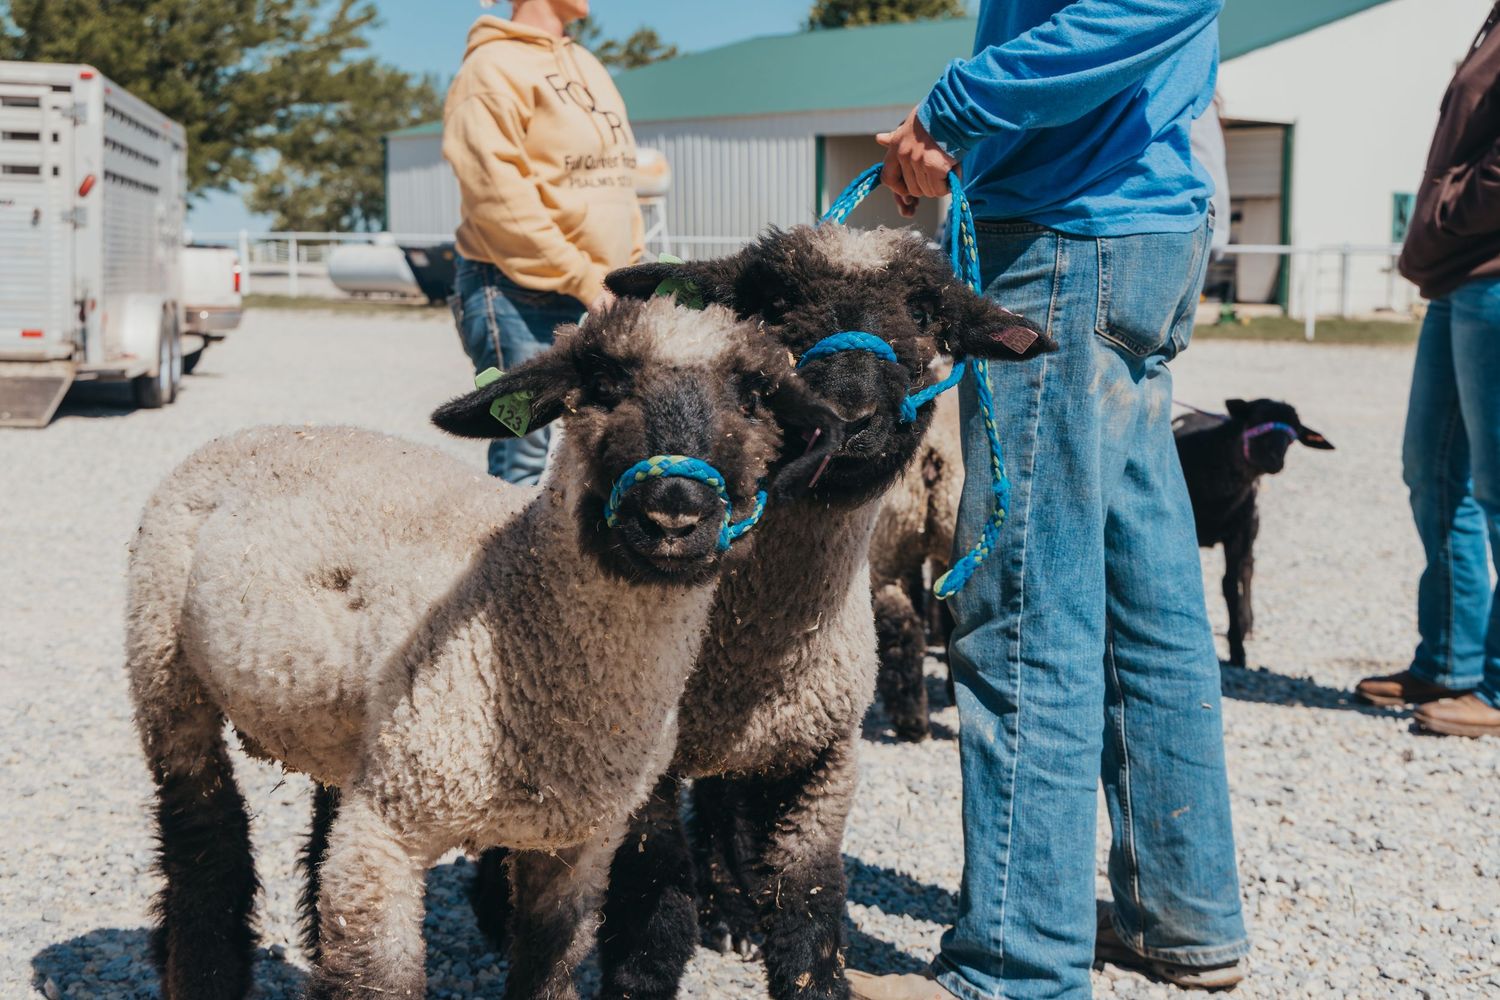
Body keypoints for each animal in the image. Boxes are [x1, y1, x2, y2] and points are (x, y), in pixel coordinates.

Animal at [125, 296, 841, 1000]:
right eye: (603, 384)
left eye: (756, 397)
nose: (673, 514)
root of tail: (266, 430)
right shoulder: (388, 835)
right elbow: (375, 979)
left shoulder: (579, 850)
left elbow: (546, 970)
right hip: (163, 664)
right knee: (204, 846)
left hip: (350, 732)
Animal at [1174, 397, 1334, 667]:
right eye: (1257, 420)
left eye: (1292, 437)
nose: (1275, 460)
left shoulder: (1239, 532)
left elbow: (1229, 585)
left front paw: (1237, 649)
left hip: (1253, 524)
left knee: (1247, 569)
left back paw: (1246, 624)